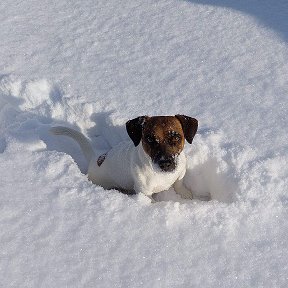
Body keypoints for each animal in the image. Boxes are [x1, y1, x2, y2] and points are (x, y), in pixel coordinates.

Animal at [50, 115, 198, 200]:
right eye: (149, 139)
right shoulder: (143, 191)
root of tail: (94, 159)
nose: (166, 163)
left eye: (176, 137)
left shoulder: (181, 172)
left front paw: (185, 194)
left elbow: (179, 183)